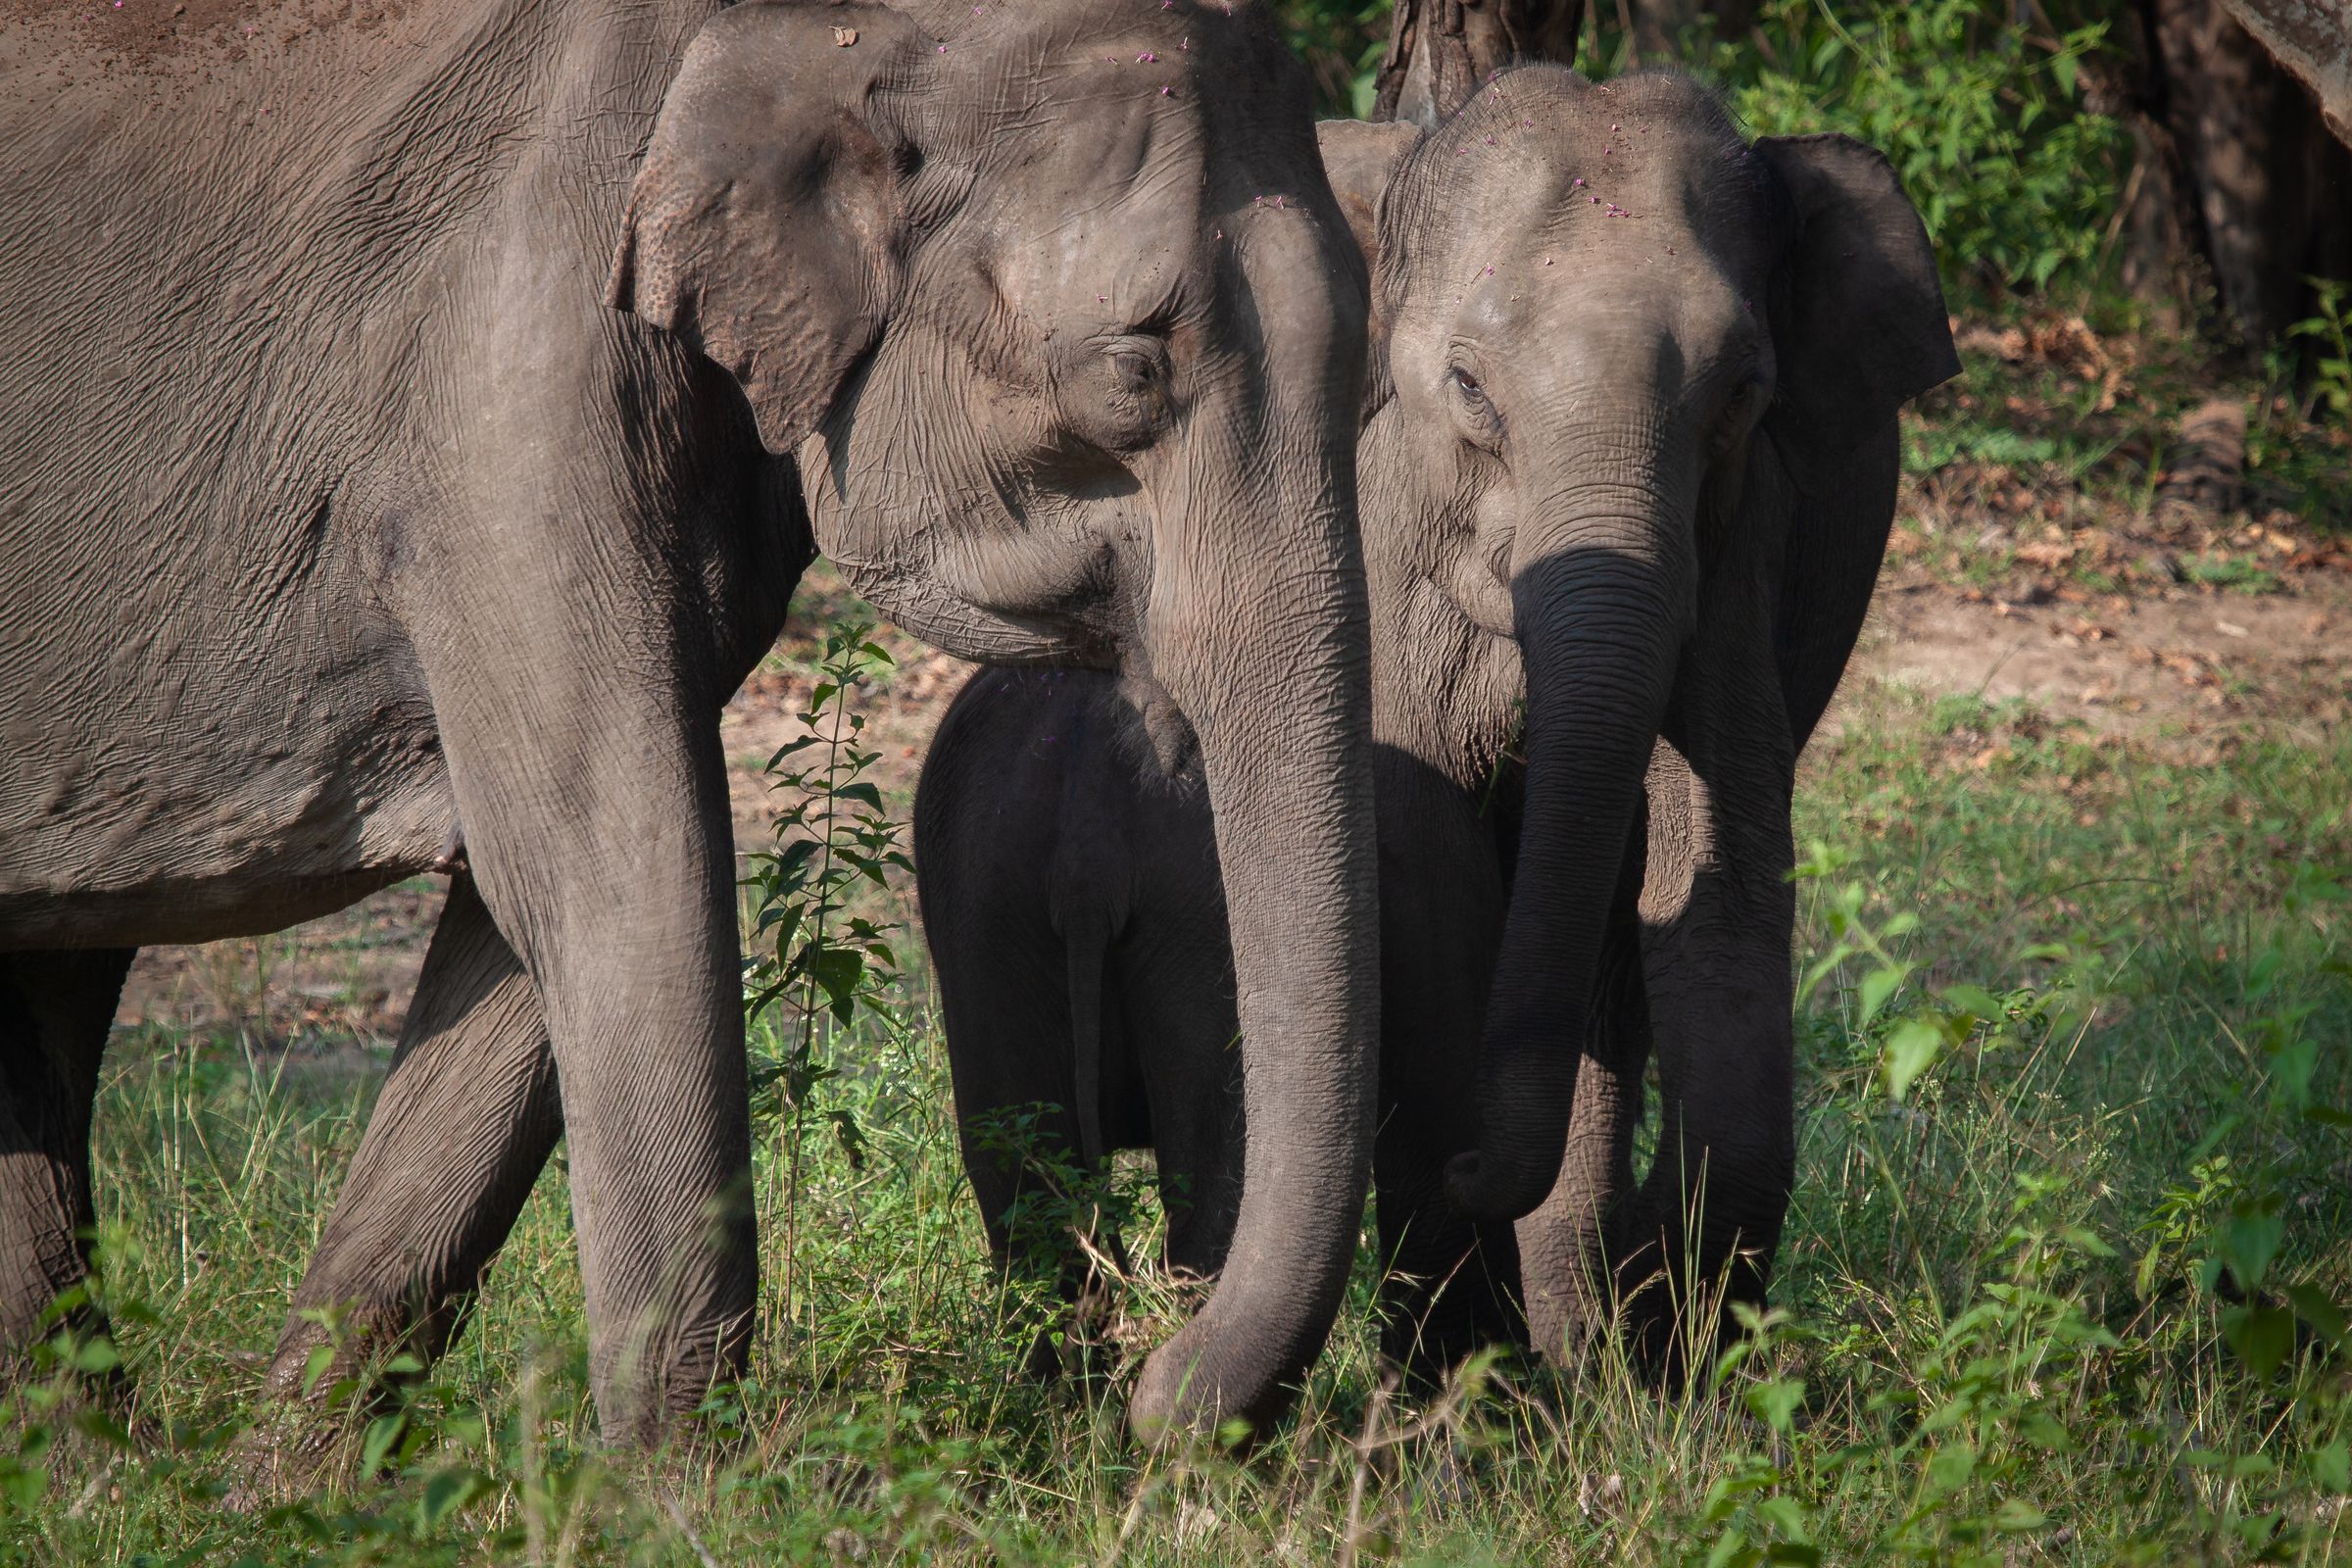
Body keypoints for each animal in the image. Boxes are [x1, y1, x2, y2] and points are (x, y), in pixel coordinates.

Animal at [0, 0, 1380, 1443]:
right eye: (1135, 370)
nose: (1162, 1386)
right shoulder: (507, 389)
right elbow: (617, 858)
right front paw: (675, 1481)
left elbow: (524, 939)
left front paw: (299, 1473)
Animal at [913, 66, 1957, 1381]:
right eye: (1466, 387)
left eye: (1742, 393)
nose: (1473, 1166)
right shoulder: (1372, 518)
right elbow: (1431, 868)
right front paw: (1483, 1365)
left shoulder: (1743, 547)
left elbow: (1714, 867)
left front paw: (1655, 1362)